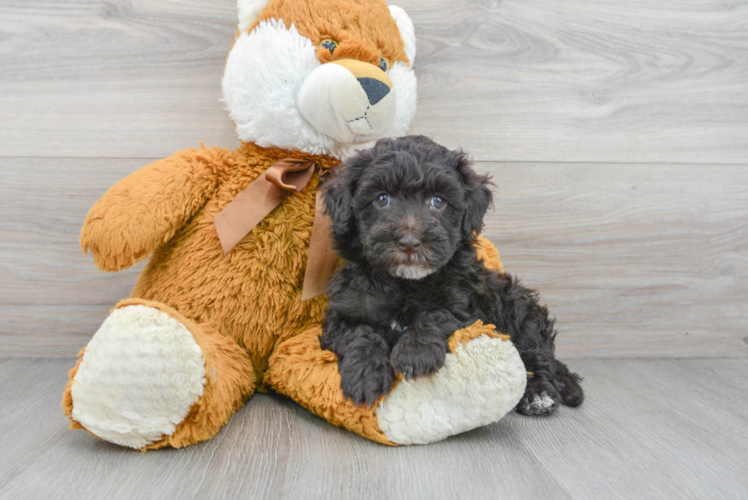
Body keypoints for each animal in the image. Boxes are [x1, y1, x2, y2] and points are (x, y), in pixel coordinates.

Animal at [318, 136, 580, 414]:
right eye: (381, 199)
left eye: (438, 201)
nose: (409, 243)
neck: (405, 283)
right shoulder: (344, 311)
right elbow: (359, 333)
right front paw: (366, 373)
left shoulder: (465, 307)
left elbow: (438, 315)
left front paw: (415, 353)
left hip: (520, 310)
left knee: (537, 359)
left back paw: (538, 395)